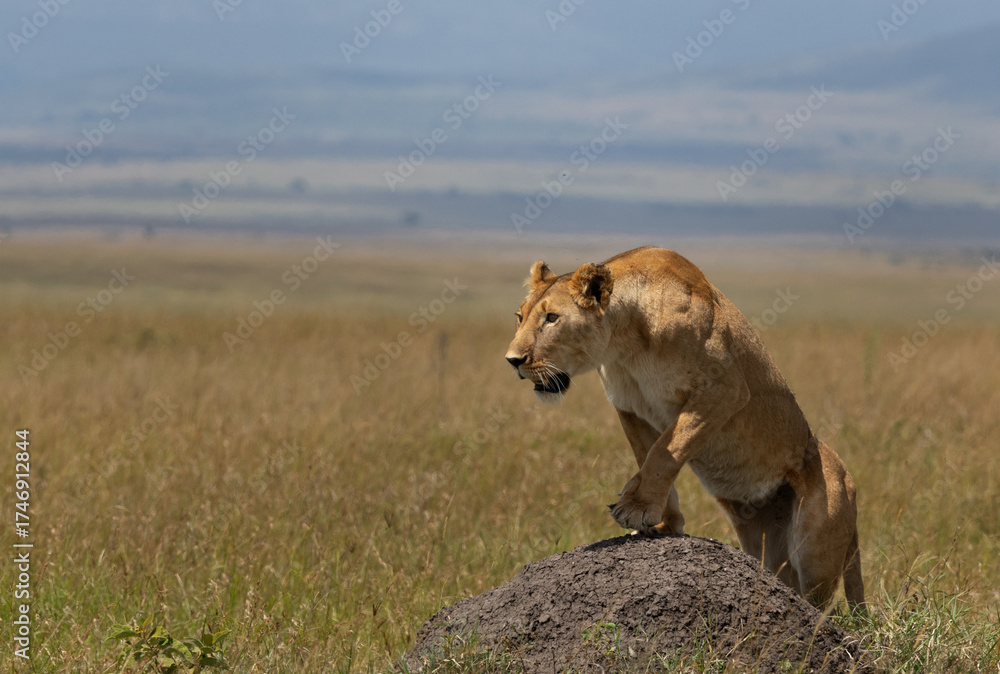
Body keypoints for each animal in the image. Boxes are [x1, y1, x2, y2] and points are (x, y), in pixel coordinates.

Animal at [504, 246, 865, 610]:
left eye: (552, 318)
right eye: (520, 317)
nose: (513, 360)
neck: (625, 343)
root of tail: (851, 486)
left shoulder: (724, 390)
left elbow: (666, 451)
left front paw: (636, 507)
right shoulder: (629, 406)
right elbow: (648, 454)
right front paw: (663, 521)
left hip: (815, 553)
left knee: (820, 605)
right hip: (763, 544)